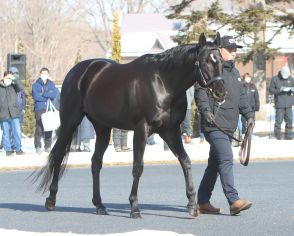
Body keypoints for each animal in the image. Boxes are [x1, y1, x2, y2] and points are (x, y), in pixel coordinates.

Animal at [35, 32, 226, 218]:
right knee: (58, 155)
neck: (163, 82)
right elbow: (138, 167)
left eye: (221, 61)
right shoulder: (141, 130)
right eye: (205, 61)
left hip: (103, 128)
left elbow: (185, 161)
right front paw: (134, 207)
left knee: (96, 162)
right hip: (70, 121)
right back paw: (51, 200)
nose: (220, 92)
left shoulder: (170, 131)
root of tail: (76, 72)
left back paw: (99, 205)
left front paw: (192, 205)